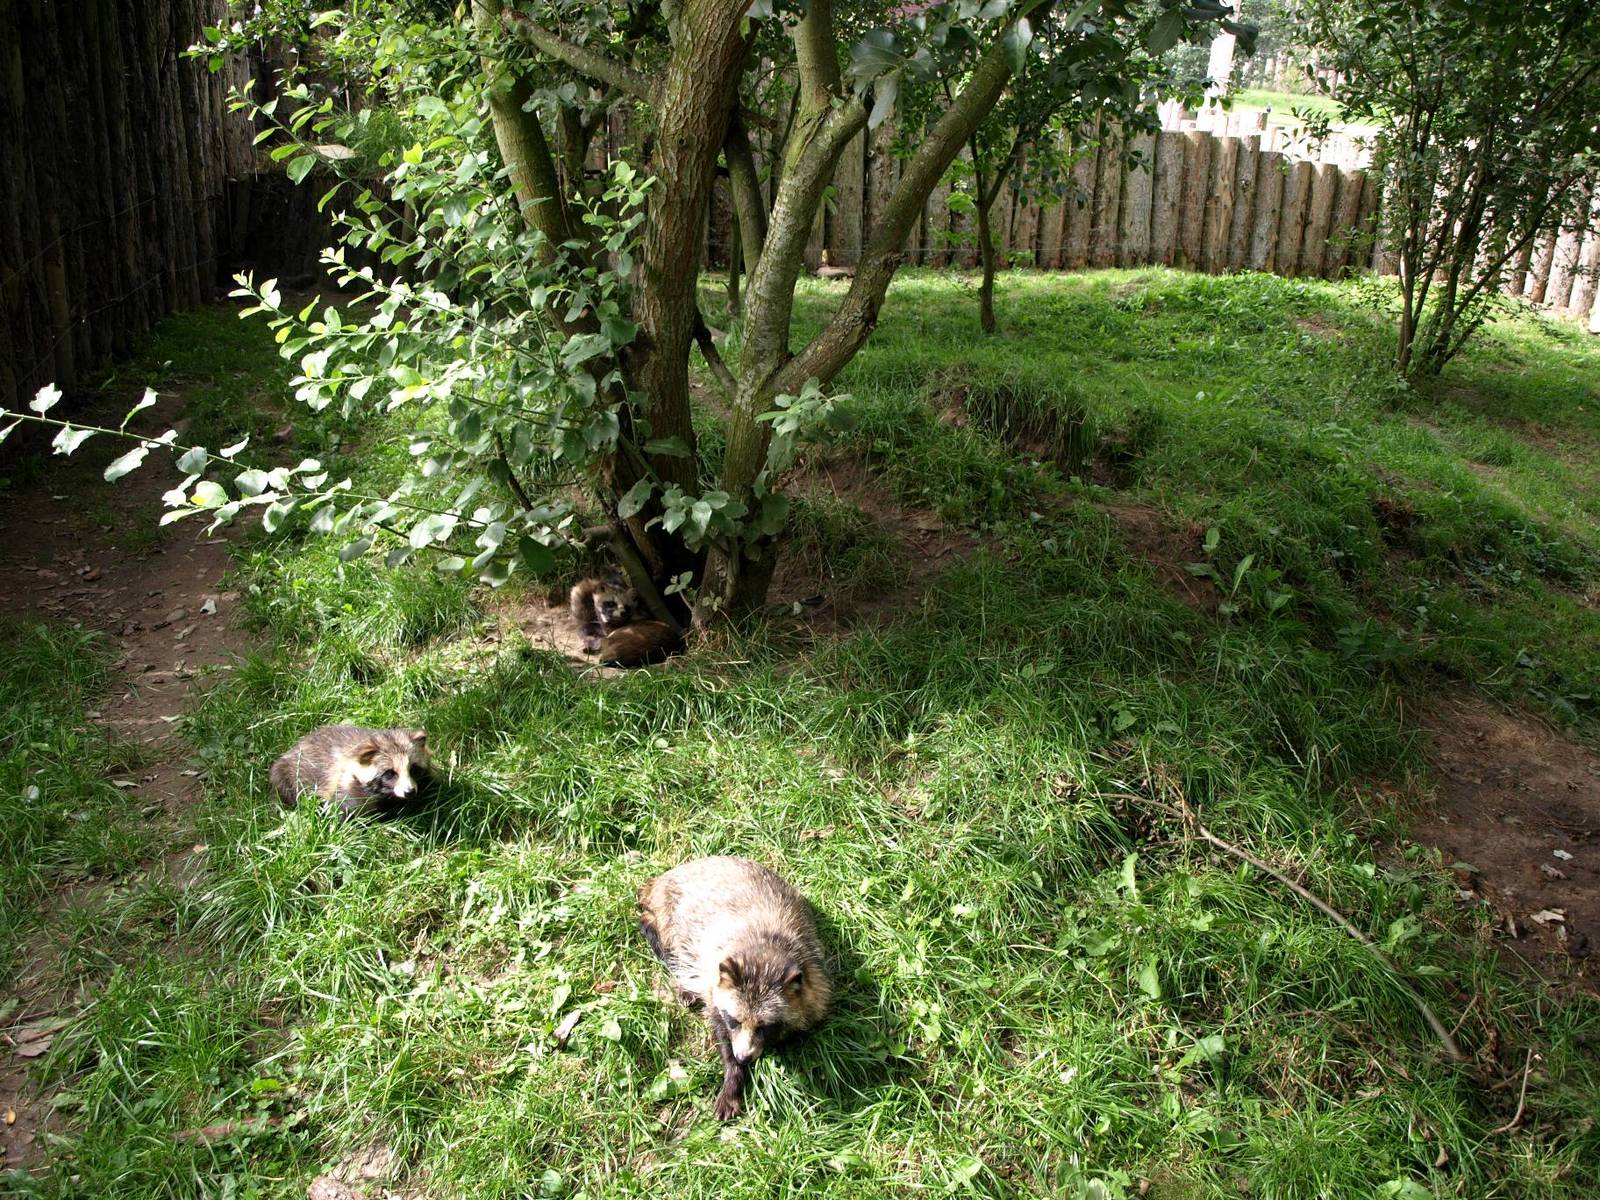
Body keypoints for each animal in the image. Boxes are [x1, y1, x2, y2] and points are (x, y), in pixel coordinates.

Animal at [269, 725, 431, 819]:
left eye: (413, 769)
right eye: (390, 773)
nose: (409, 792)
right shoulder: (341, 787)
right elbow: (339, 810)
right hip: (286, 773)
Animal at [638, 856, 831, 1119]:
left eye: (765, 1027)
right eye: (735, 1020)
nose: (743, 1057)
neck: (764, 951)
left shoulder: (815, 980)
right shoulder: (713, 980)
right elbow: (720, 1028)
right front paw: (733, 1076)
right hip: (668, 911)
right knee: (660, 935)